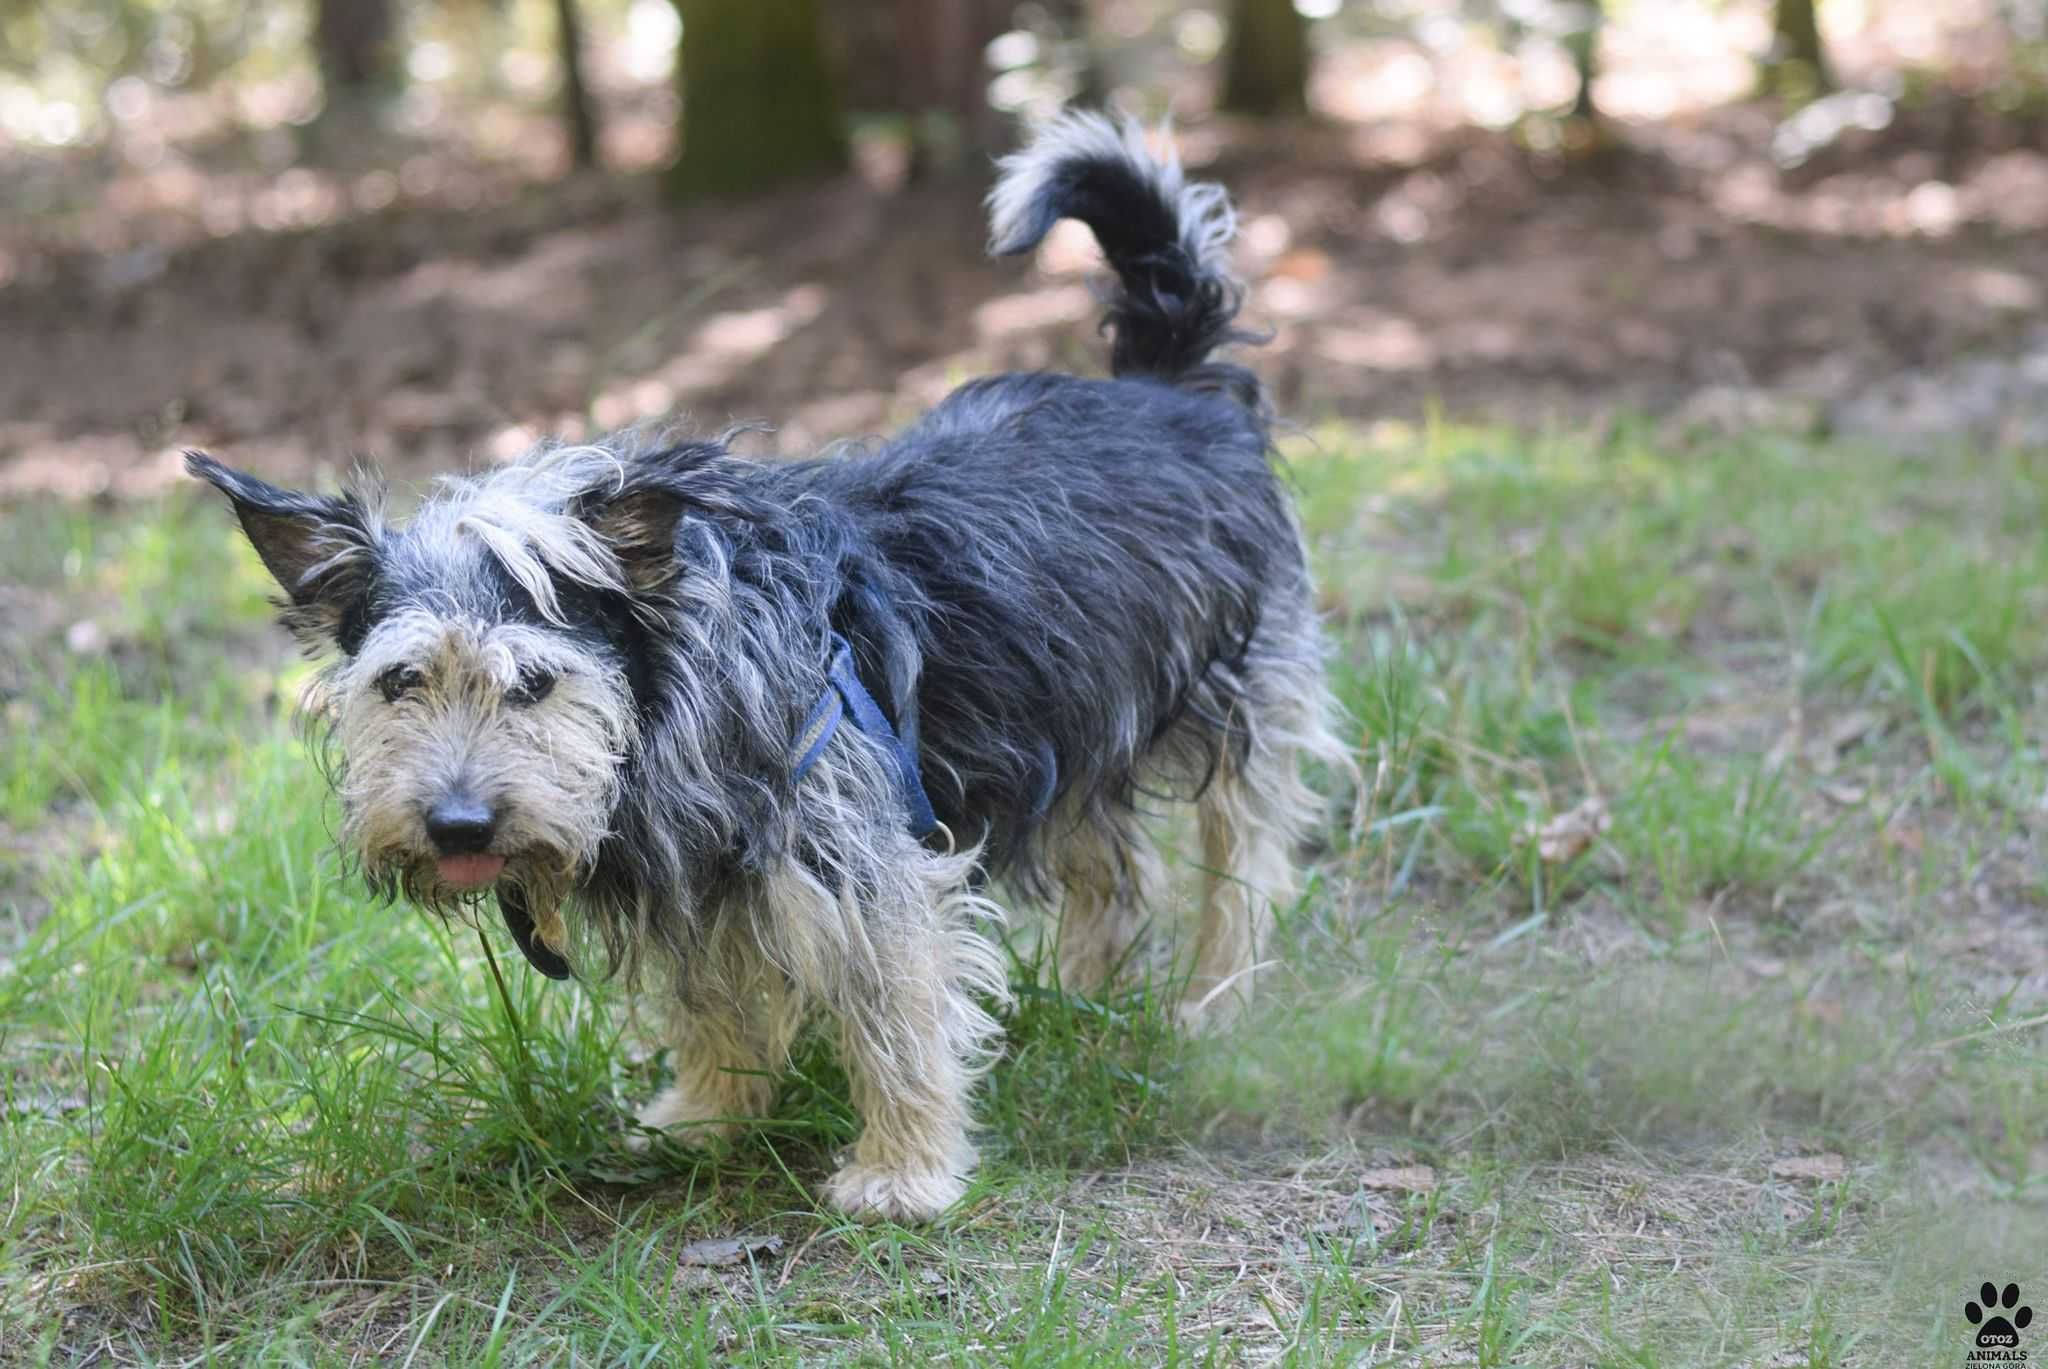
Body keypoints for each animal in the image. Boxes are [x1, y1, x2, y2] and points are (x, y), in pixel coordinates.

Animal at [188, 109, 1343, 1221]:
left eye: (535, 683)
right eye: (401, 682)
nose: (458, 825)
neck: (680, 693)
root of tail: (1170, 389)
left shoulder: (863, 862)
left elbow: (895, 1015)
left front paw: (904, 1170)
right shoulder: (695, 875)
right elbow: (708, 1002)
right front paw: (707, 1114)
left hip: (1242, 696)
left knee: (1244, 866)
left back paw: (1214, 1000)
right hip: (1071, 717)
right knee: (1117, 872)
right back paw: (1086, 994)